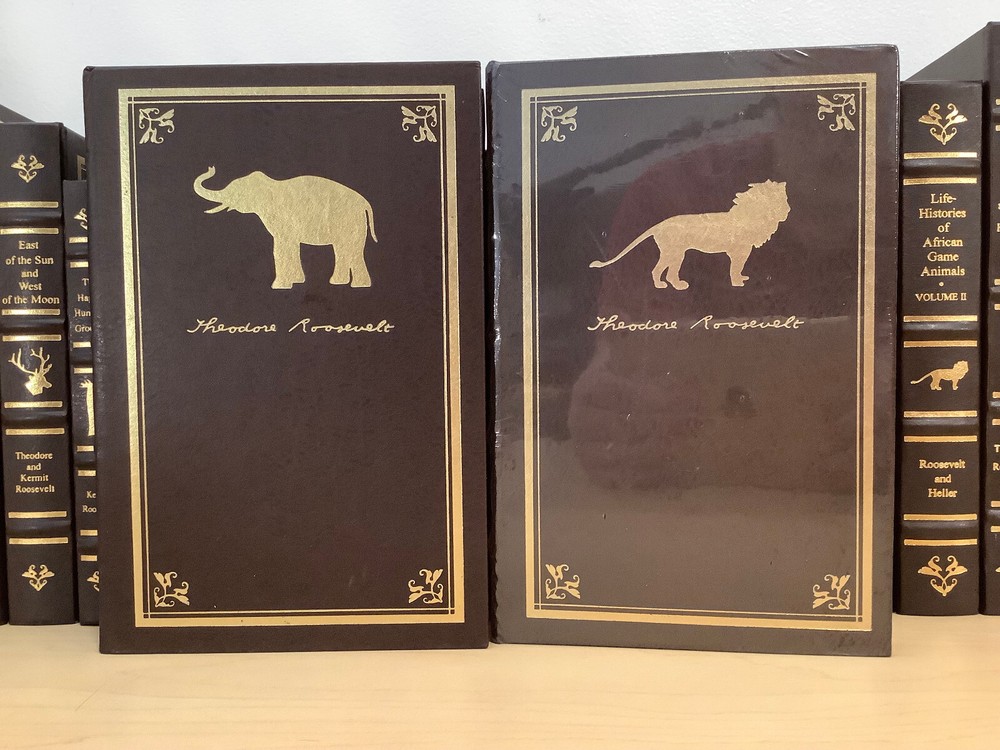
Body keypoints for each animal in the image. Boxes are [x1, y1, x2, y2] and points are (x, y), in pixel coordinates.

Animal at [193, 166, 377, 289]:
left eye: (236, 191)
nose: (211, 168)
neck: (271, 183)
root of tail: (365, 204)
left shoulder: (283, 219)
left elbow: (281, 247)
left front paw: (280, 285)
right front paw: (297, 281)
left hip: (352, 222)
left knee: (352, 251)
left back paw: (357, 285)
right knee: (343, 251)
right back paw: (339, 282)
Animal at [589, 180, 791, 290]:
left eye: (785, 199)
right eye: (778, 201)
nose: (788, 210)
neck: (753, 216)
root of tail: (659, 225)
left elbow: (739, 269)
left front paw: (741, 279)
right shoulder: (739, 251)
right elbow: (735, 268)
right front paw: (737, 283)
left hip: (674, 253)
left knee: (664, 272)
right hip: (675, 252)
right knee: (662, 271)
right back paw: (672, 286)